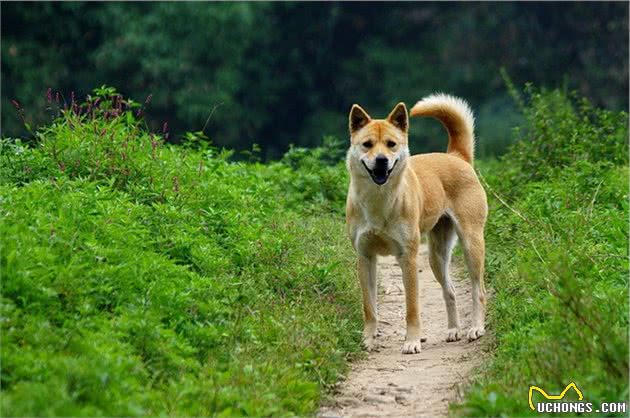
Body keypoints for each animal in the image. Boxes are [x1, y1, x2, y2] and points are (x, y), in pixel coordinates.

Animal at [346, 94, 488, 352]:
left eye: (391, 144)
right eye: (367, 144)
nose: (381, 161)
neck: (379, 200)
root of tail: (455, 156)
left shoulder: (408, 258)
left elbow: (412, 307)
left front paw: (412, 341)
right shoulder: (365, 257)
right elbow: (369, 307)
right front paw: (368, 340)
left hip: (471, 244)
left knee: (478, 290)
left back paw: (476, 328)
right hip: (436, 256)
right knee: (450, 291)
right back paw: (453, 330)